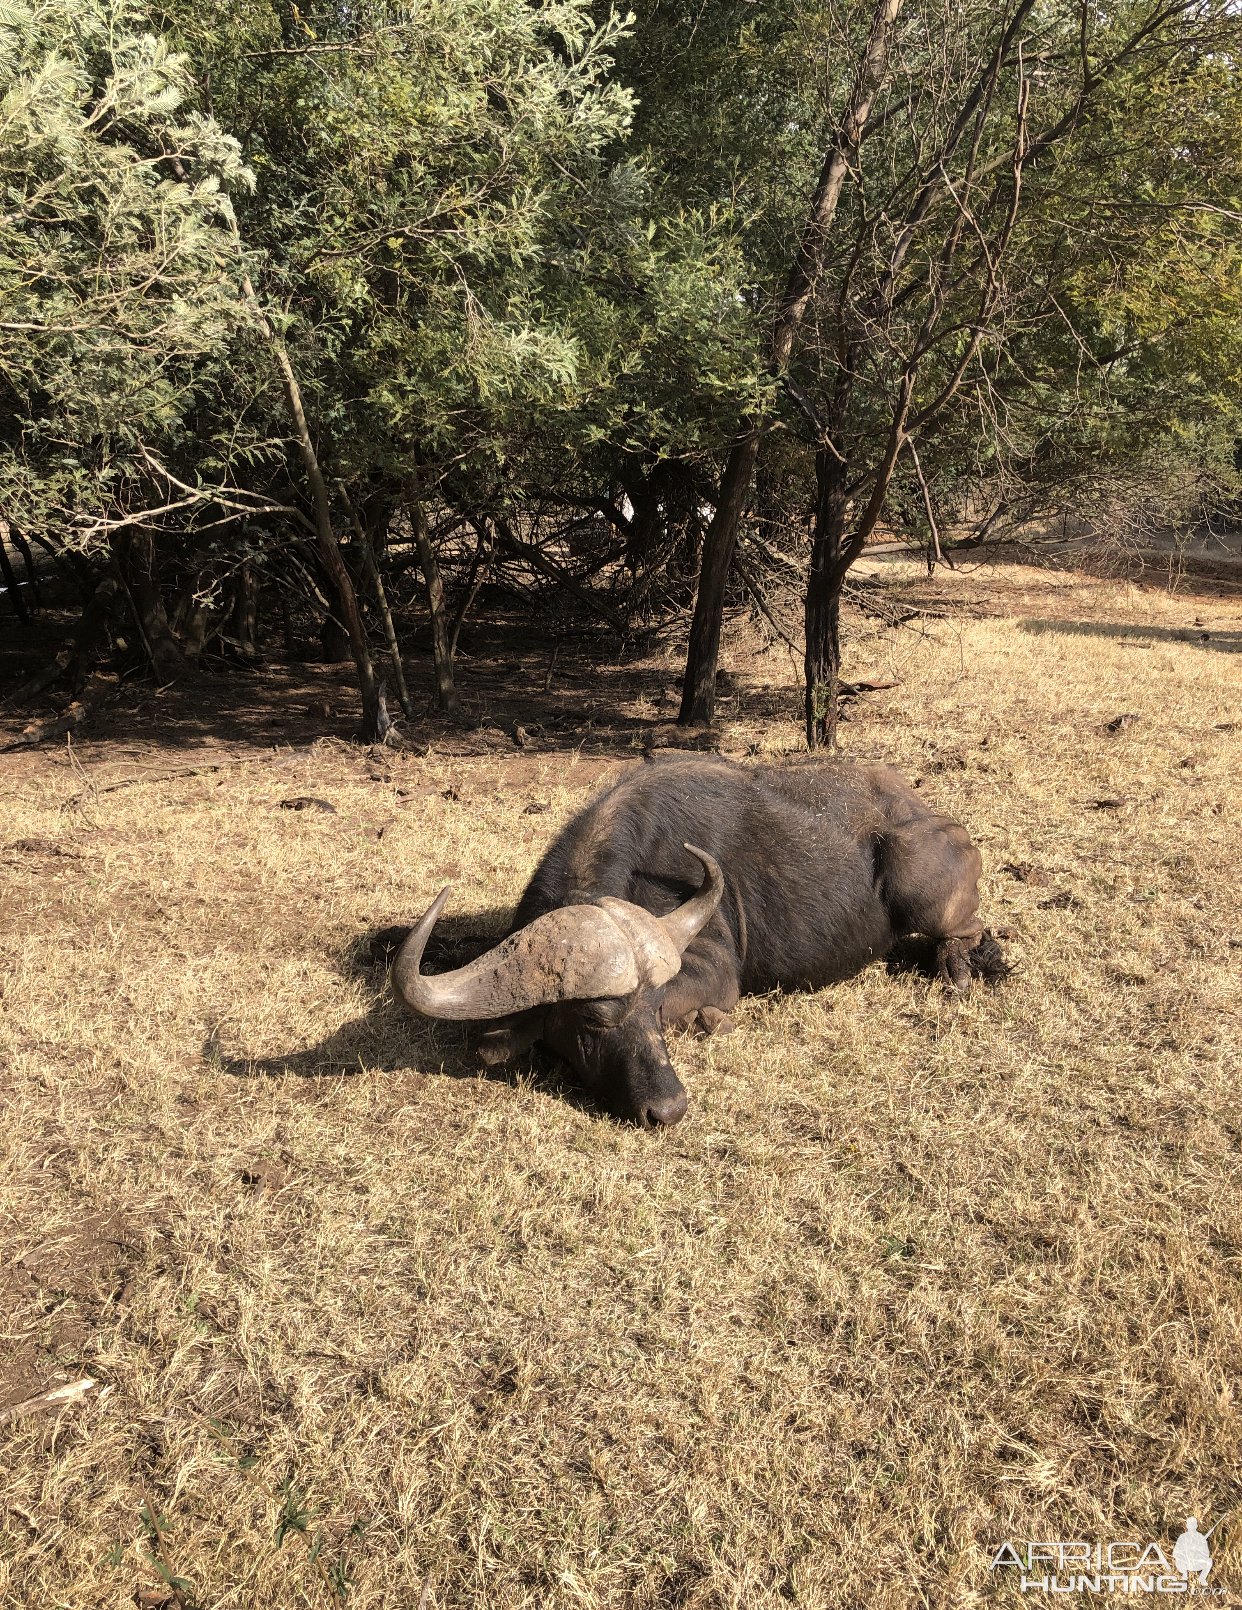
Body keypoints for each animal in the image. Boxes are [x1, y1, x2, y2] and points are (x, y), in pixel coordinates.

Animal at [393, 756, 1005, 1127]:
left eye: (654, 1008)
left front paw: (708, 1021)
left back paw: (960, 967)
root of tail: (935, 818)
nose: (668, 1109)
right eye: (593, 1019)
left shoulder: (714, 971)